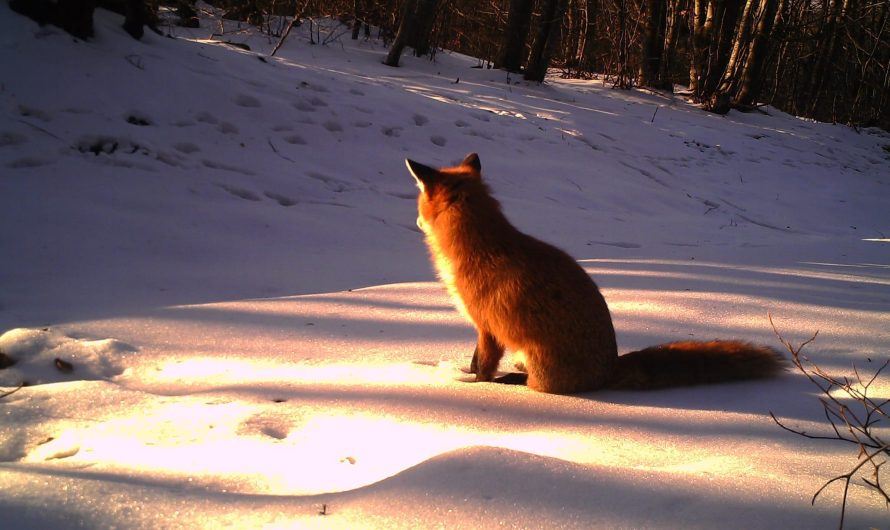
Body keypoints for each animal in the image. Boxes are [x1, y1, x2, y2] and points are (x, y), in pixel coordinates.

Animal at [406, 153, 780, 392]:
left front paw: (472, 385)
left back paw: (512, 382)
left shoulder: (487, 326)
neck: (480, 248)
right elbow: (472, 362)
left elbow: (482, 368)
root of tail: (609, 368)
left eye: (418, 205)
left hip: (540, 362)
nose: (416, 222)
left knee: (537, 386)